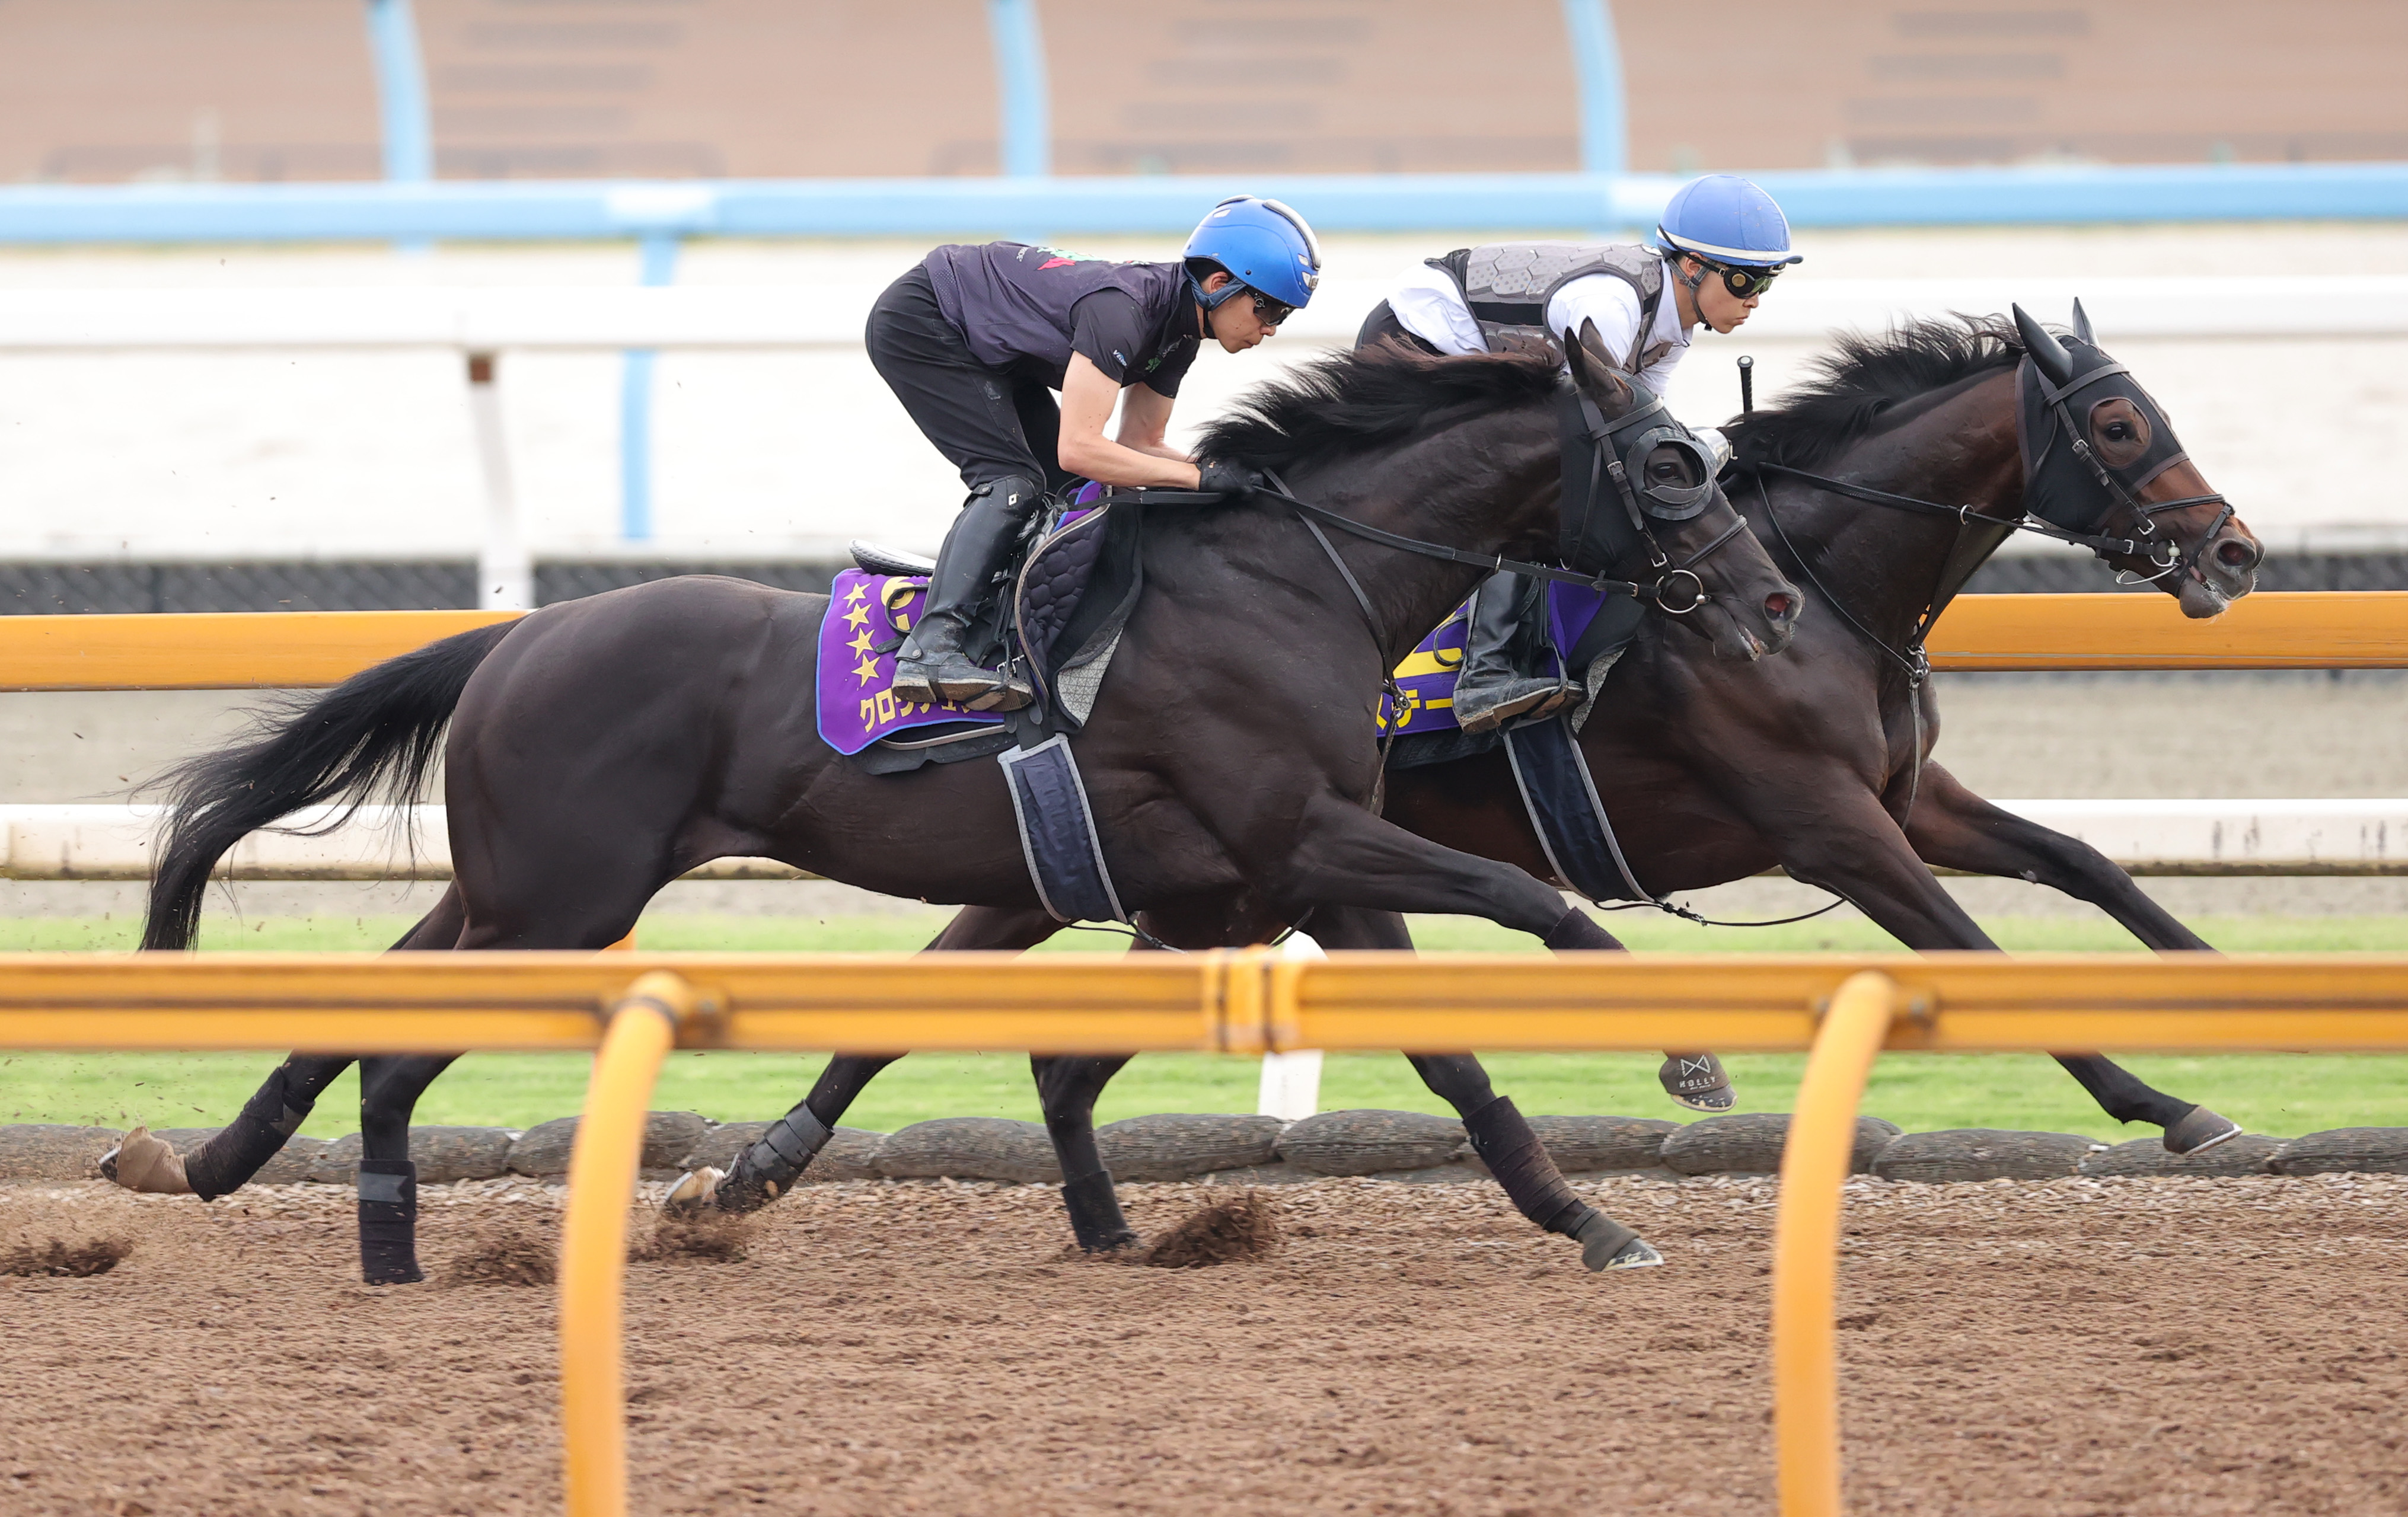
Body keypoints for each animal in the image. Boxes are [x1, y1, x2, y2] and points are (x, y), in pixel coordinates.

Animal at [106, 336, 1803, 1284]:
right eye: (1669, 463)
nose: (1777, 600)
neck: (1289, 579)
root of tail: (518, 635)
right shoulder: (1300, 835)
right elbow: (1527, 900)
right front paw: (1686, 1055)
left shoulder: (1292, 871)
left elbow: (1451, 1062)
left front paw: (1589, 1219)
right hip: (560, 905)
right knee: (400, 1046)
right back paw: (387, 1241)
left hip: (511, 888)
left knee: (361, 1009)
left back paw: (203, 1161)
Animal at [686, 306, 2263, 1261]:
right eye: (2118, 429)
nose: (2234, 549)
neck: (1812, 584)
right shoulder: (1827, 823)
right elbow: (1968, 949)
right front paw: (2165, 1098)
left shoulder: (1904, 799)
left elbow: (2086, 865)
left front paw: (2215, 1003)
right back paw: (760, 1168)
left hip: (1161, 877)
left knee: (1015, 1033)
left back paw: (776, 1166)